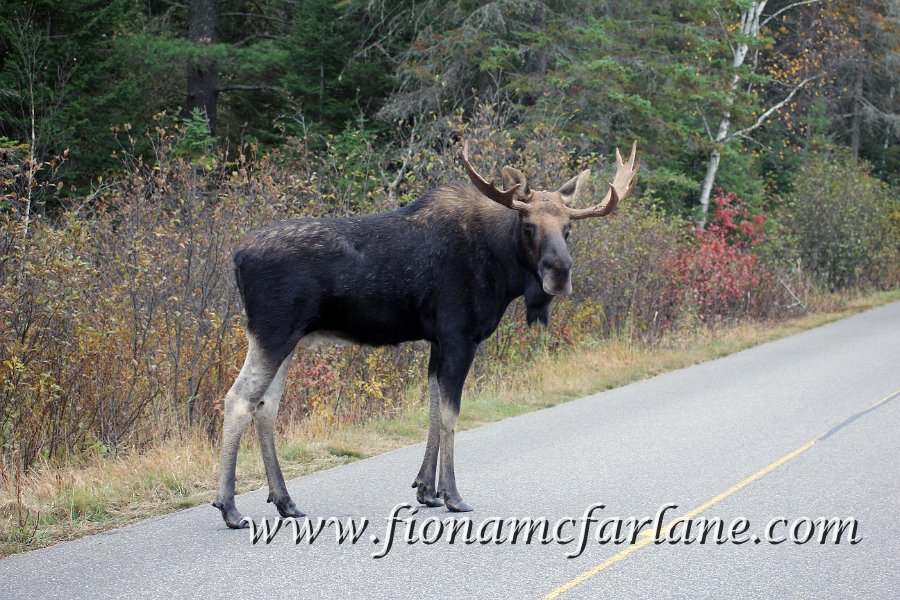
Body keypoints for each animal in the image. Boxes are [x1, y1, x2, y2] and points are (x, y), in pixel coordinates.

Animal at [212, 141, 639, 528]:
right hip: (273, 333)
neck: (503, 269)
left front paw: (426, 490)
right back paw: (229, 507)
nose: (560, 272)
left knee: (266, 406)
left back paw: (284, 500)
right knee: (238, 399)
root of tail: (236, 258)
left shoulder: (436, 340)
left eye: (569, 228)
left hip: (289, 340)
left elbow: (432, 409)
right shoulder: (459, 336)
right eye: (530, 226)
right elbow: (450, 413)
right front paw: (452, 494)